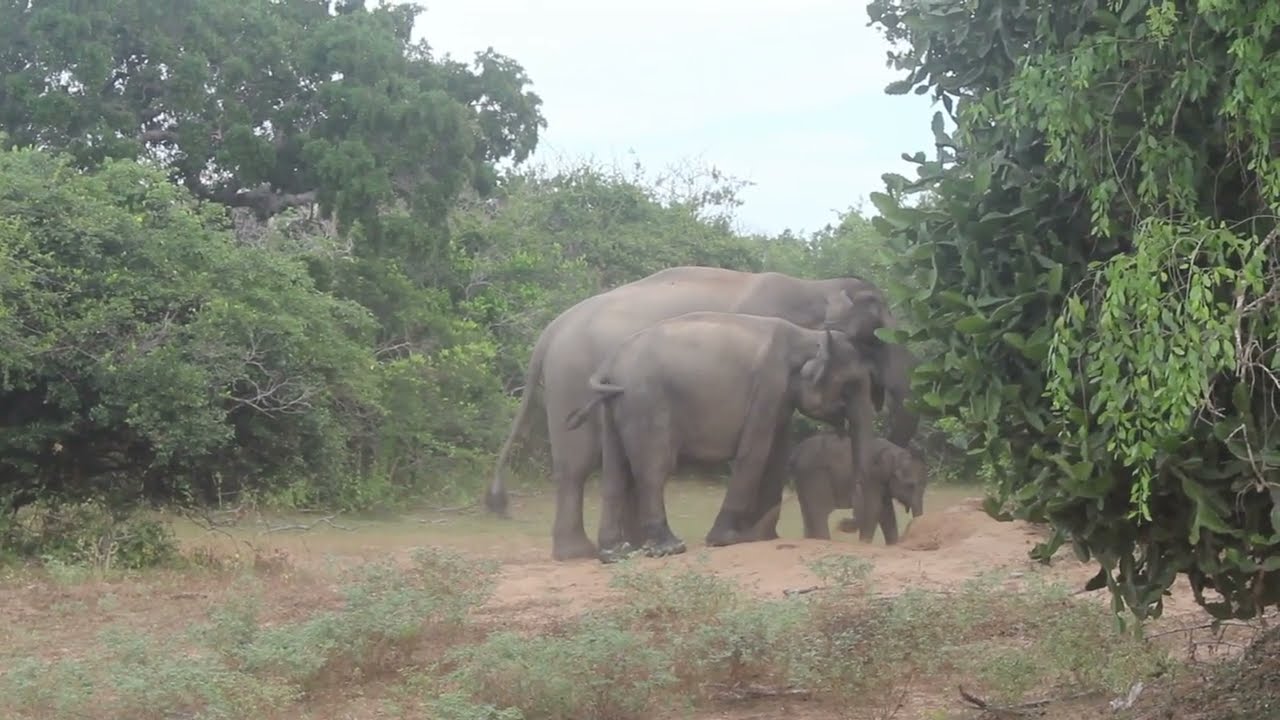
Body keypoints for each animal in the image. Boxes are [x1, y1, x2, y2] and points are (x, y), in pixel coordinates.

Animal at [562, 311, 883, 562]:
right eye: (849, 387)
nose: (847, 524)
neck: (808, 335)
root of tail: (608, 364)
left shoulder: (780, 399)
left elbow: (777, 454)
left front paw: (761, 537)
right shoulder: (769, 384)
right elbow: (755, 453)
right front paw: (726, 539)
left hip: (614, 404)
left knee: (614, 472)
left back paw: (615, 554)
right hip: (646, 401)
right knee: (654, 470)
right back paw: (670, 548)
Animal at [788, 431, 927, 544]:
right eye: (910, 485)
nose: (841, 524)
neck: (896, 453)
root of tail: (795, 452)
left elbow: (886, 512)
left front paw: (893, 545)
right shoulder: (870, 477)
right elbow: (874, 508)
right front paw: (863, 543)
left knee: (808, 512)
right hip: (814, 475)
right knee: (820, 511)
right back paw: (824, 540)